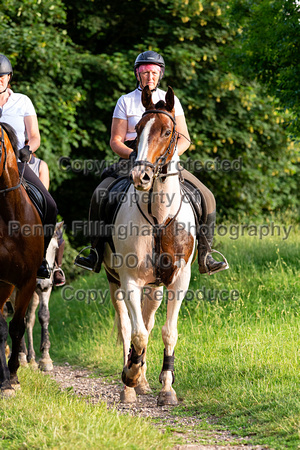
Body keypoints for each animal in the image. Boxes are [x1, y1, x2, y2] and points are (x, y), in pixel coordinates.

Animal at [103, 85, 197, 404]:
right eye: (139, 129)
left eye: (168, 131)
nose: (140, 176)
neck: (159, 216)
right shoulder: (129, 279)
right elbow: (137, 334)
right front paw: (129, 376)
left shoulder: (179, 279)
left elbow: (168, 331)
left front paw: (167, 388)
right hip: (114, 280)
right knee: (128, 325)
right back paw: (131, 386)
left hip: (155, 286)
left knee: (148, 319)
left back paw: (143, 381)